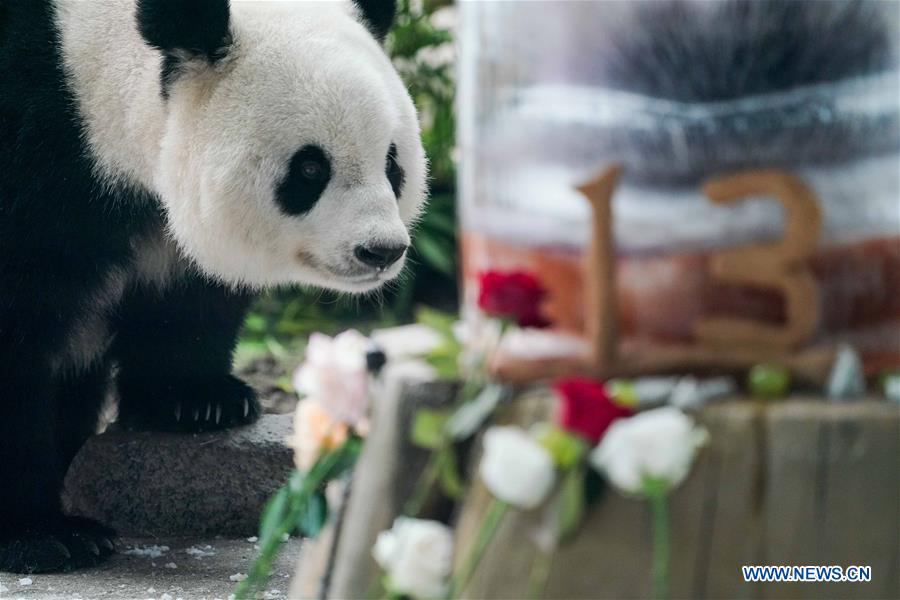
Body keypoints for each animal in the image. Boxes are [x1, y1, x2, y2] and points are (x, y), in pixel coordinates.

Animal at [0, 0, 426, 573]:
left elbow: (187, 302)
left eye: (392, 162)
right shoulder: (31, 147)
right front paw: (45, 536)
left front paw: (197, 401)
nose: (381, 250)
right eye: (310, 167)